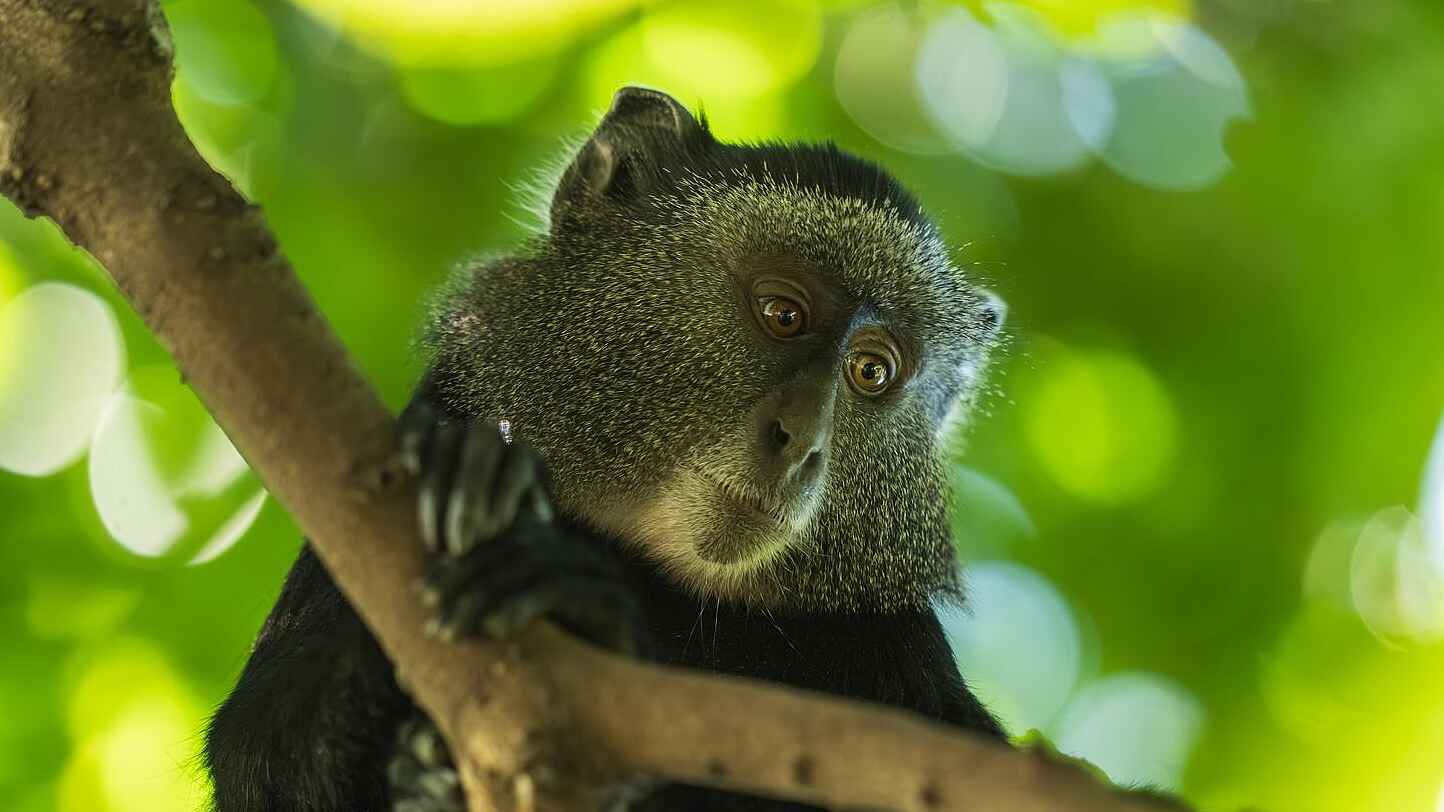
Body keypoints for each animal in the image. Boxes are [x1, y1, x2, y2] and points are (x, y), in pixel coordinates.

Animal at [203, 85, 1011, 812]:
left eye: (871, 372)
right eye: (783, 314)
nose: (802, 442)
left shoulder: (899, 650)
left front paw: (590, 607)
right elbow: (254, 751)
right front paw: (483, 469)